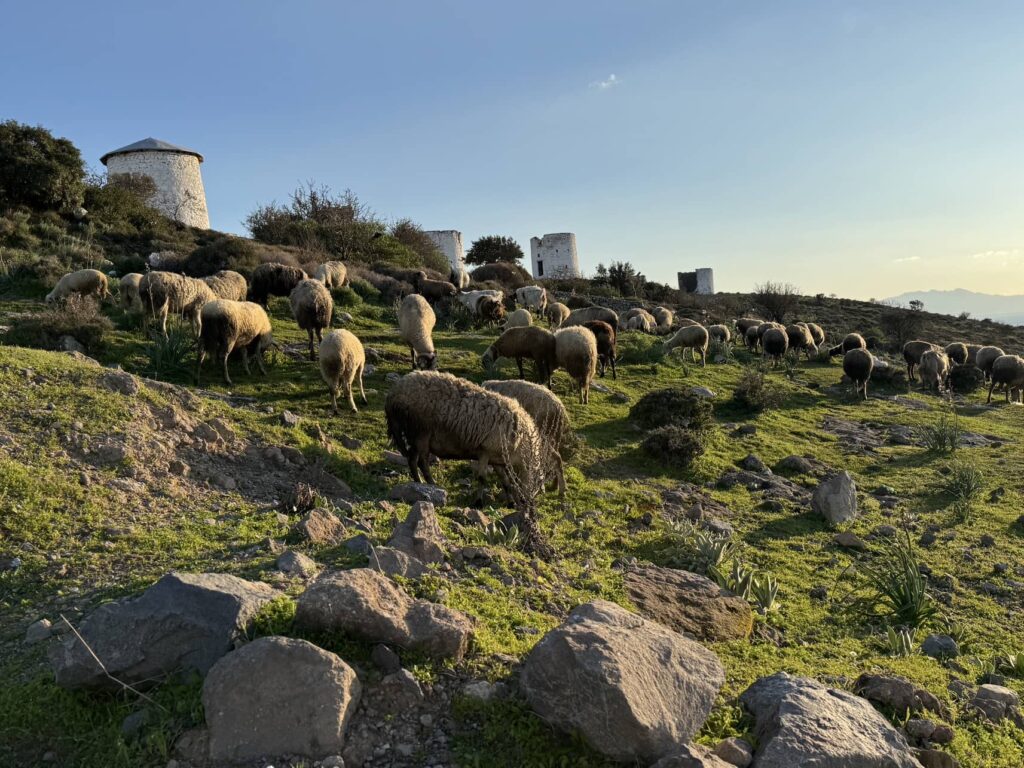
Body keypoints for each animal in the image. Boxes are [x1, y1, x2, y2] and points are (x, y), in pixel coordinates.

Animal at [385, 371, 544, 501]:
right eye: (536, 483)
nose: (526, 501)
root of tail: (394, 393)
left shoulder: (496, 457)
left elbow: (505, 481)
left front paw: (510, 502)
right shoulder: (485, 451)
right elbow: (482, 478)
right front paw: (479, 502)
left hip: (415, 436)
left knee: (412, 460)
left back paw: (419, 482)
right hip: (421, 432)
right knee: (421, 462)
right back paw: (430, 484)